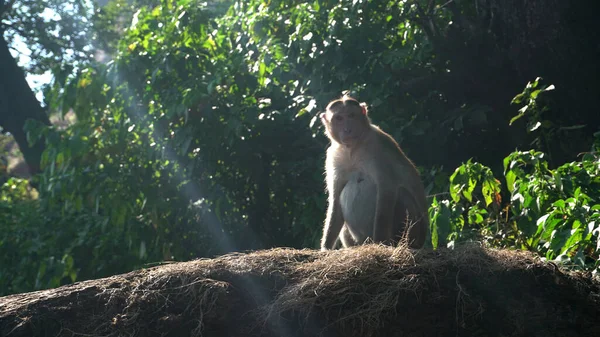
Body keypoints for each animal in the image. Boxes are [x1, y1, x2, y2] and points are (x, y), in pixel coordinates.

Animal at [318, 94, 426, 249]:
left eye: (351, 115)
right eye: (339, 118)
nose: (347, 129)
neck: (353, 149)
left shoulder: (379, 146)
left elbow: (386, 190)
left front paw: (380, 243)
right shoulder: (333, 156)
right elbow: (336, 198)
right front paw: (326, 247)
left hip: (416, 233)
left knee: (401, 194)